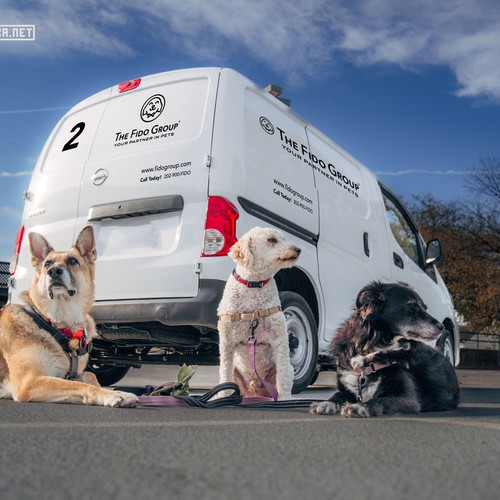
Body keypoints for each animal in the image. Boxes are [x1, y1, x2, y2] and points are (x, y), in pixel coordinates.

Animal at [0, 227, 138, 406]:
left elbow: (90, 376)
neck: (53, 323)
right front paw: (112, 395)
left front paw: (116, 392)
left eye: (73, 261)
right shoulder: (29, 382)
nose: (53, 271)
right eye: (47, 264)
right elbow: (81, 386)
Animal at [217, 229, 298, 400]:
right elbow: (224, 373)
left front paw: (285, 399)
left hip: (285, 370)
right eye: (272, 240)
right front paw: (221, 397)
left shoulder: (280, 339)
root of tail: (254, 391)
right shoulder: (226, 341)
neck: (254, 285)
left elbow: (282, 376)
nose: (298, 249)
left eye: (284, 238)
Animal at [310, 282, 458, 418]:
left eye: (425, 308)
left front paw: (360, 407)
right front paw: (325, 403)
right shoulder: (346, 387)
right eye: (411, 305)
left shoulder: (408, 399)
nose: (442, 327)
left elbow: (380, 400)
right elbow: (337, 395)